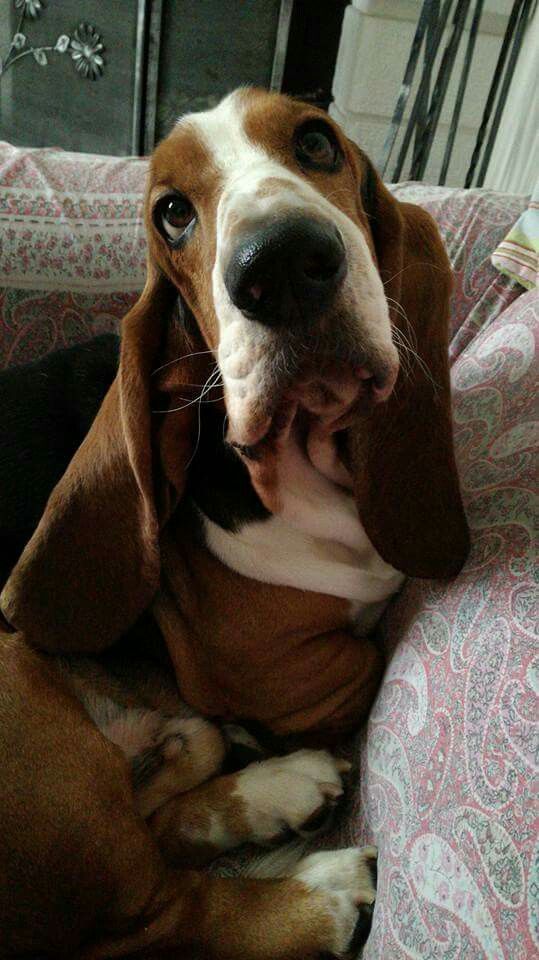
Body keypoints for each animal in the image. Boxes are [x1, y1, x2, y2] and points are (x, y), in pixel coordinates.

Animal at [0, 86, 468, 956]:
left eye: (316, 143)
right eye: (171, 213)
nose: (277, 265)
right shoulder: (283, 675)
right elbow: (366, 661)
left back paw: (273, 788)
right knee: (169, 910)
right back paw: (322, 887)